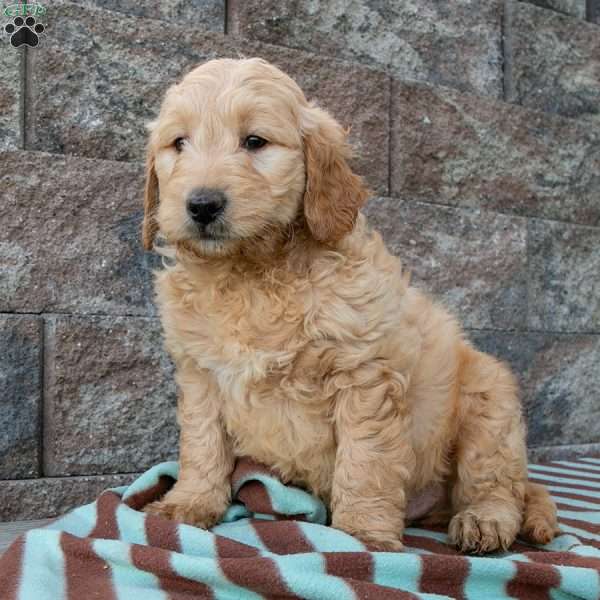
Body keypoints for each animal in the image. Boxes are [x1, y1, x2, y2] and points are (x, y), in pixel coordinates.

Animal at [141, 57, 556, 552]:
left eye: (255, 141)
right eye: (178, 143)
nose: (202, 205)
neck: (250, 272)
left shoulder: (365, 376)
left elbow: (366, 460)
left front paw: (363, 531)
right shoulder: (200, 375)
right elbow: (203, 446)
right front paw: (190, 503)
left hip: (489, 403)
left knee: (497, 484)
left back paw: (484, 520)